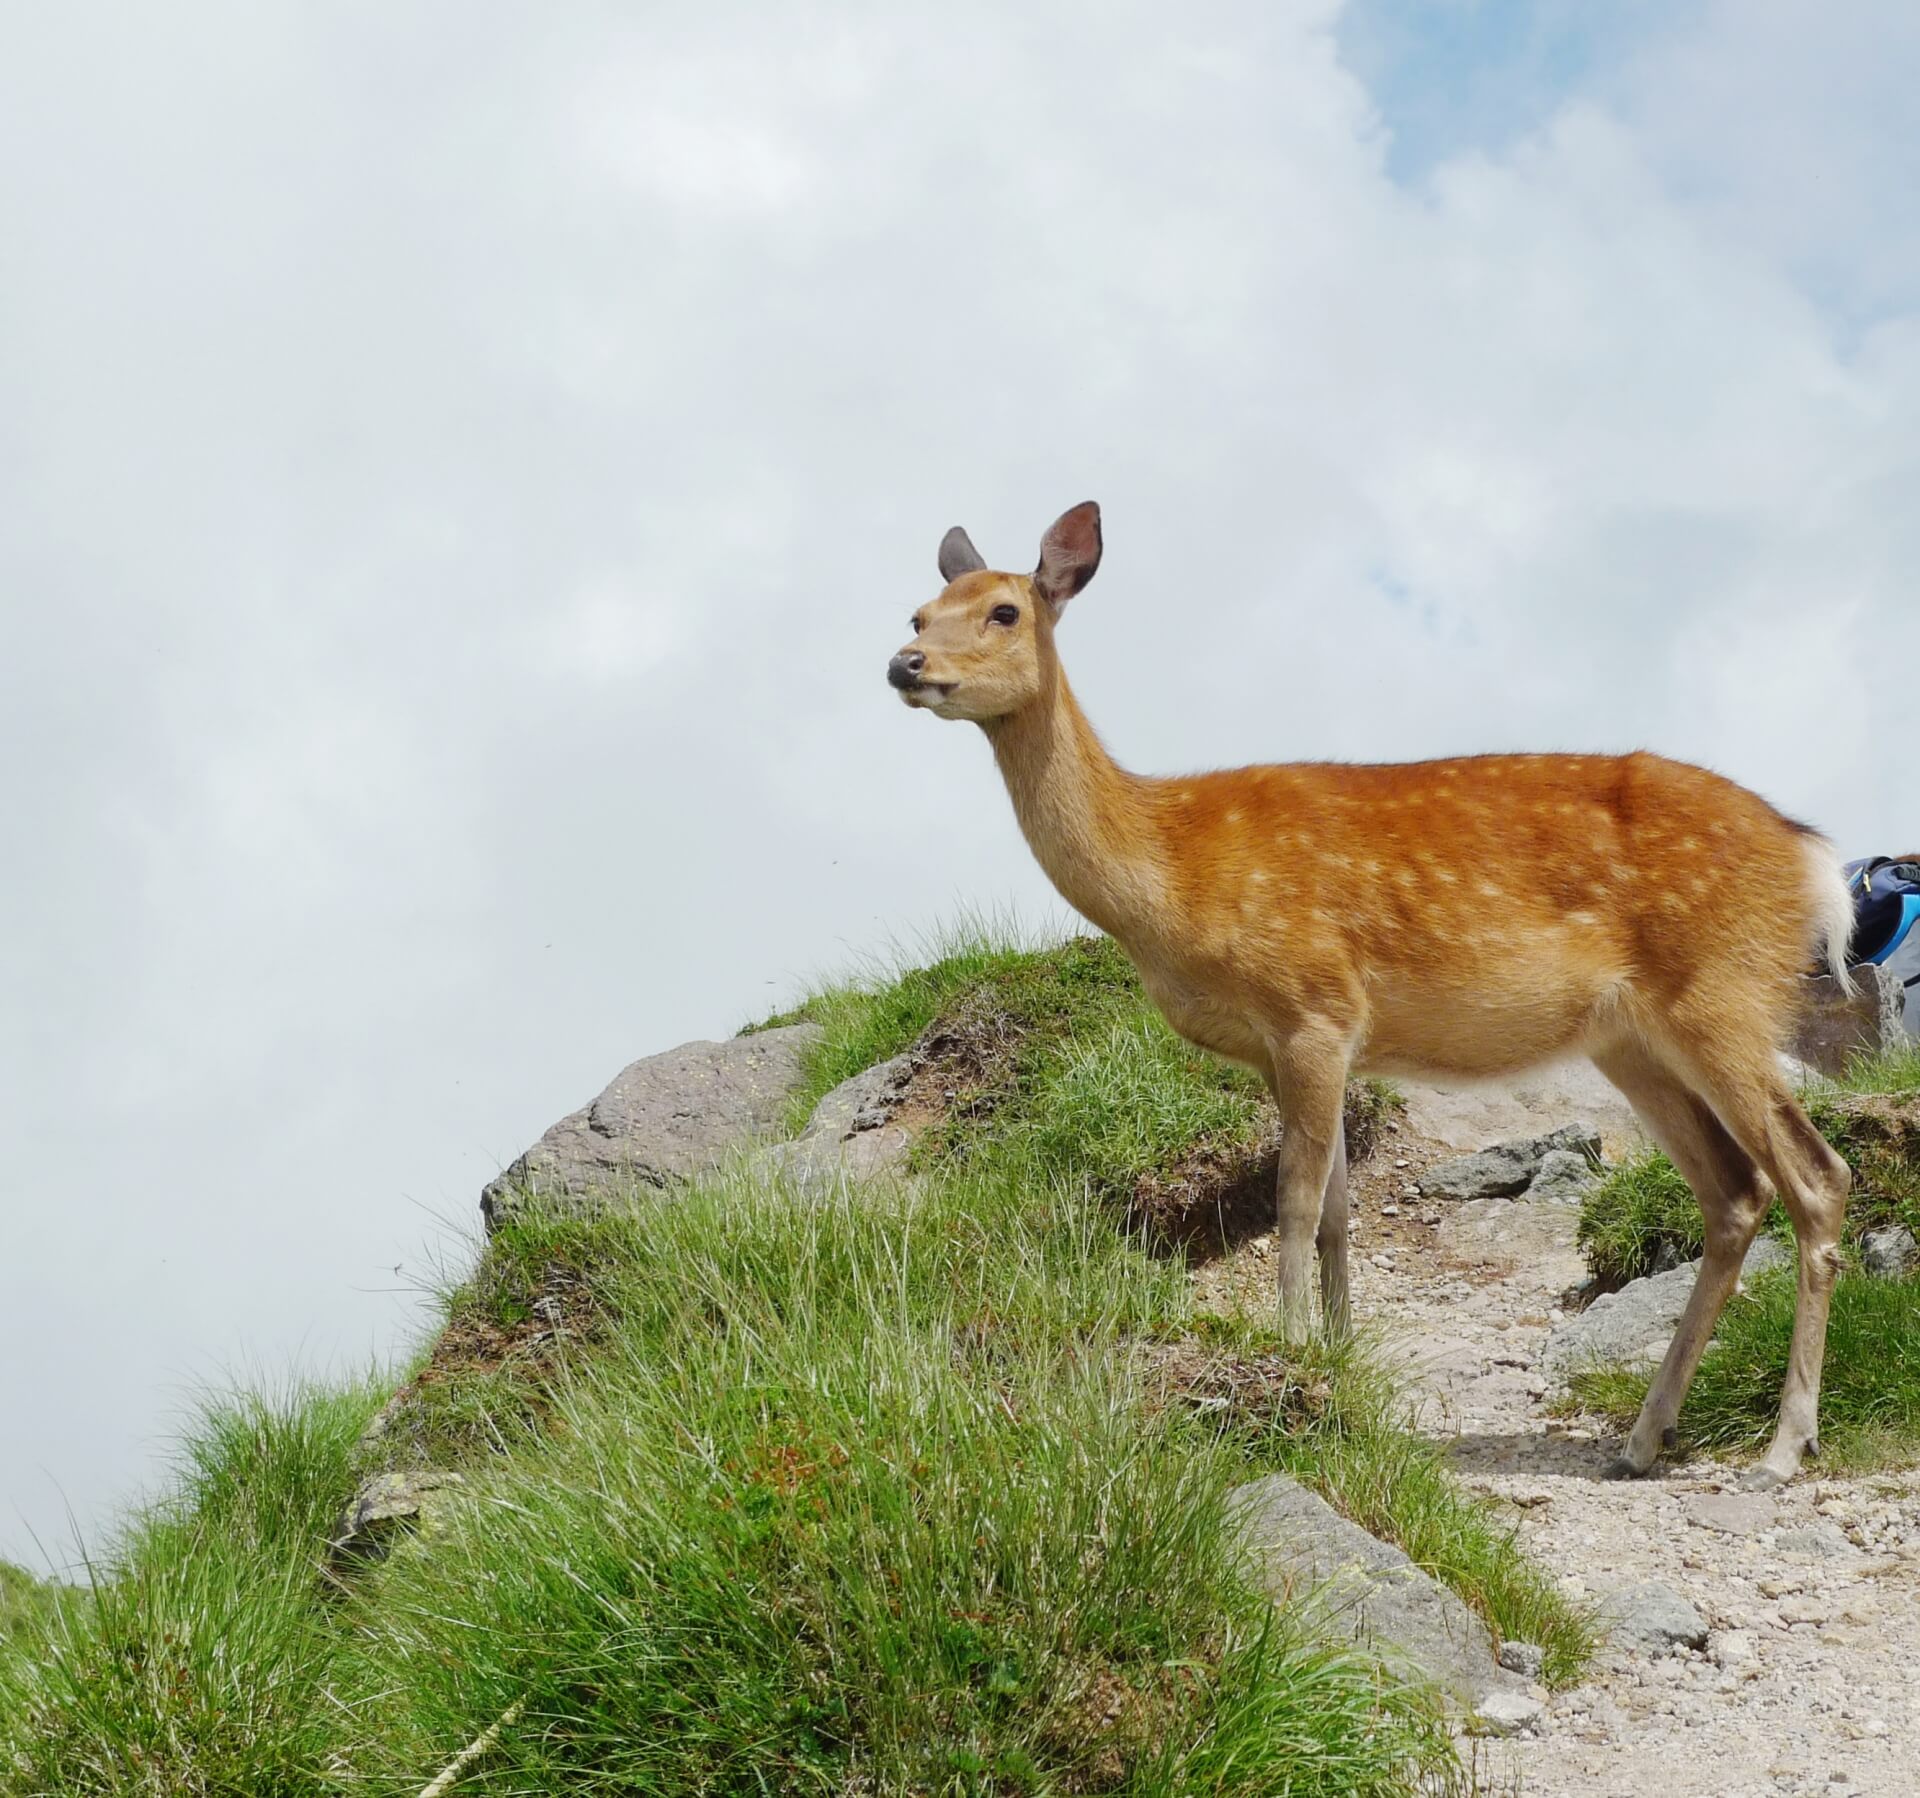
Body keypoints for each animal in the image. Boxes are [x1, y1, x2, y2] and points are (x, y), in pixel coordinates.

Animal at [887, 503, 1858, 1490]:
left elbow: (1294, 1204)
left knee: (1818, 1177)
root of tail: (1815, 863)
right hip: (1630, 1040)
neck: (1173, 878)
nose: (905, 664)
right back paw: (1642, 1437)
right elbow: (1338, 1218)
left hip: (1724, 994)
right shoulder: (1301, 1042)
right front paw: (1339, 1366)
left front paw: (1288, 1358)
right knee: (1734, 1193)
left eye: (1004, 610)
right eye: (919, 611)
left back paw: (1785, 1444)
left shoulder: (1314, 1004)